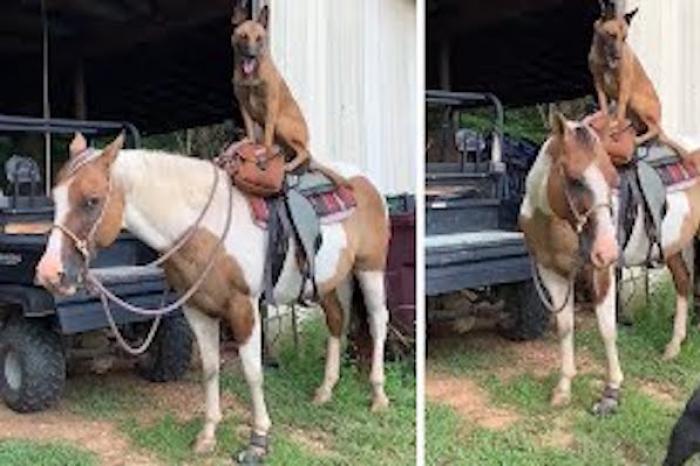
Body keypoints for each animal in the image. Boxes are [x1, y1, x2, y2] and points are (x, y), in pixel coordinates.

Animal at [35, 133, 392, 464]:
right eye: (55, 199)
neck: (205, 226)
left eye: (92, 200)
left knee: (378, 322)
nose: (50, 273)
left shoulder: (244, 309)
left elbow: (252, 372)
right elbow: (209, 369)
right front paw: (207, 436)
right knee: (336, 322)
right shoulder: (197, 311)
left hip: (370, 268)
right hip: (331, 281)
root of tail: (364, 181)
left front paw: (258, 440)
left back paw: (378, 396)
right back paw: (325, 390)